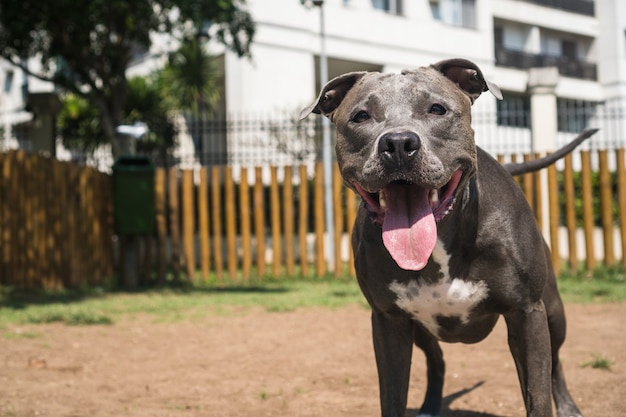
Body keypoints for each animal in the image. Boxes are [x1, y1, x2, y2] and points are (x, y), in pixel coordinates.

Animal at [298, 58, 588, 416]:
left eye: (437, 109)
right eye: (361, 116)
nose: (398, 144)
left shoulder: (526, 314)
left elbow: (538, 393)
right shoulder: (389, 322)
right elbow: (392, 396)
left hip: (553, 312)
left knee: (555, 361)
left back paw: (568, 406)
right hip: (420, 329)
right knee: (437, 360)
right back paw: (430, 405)